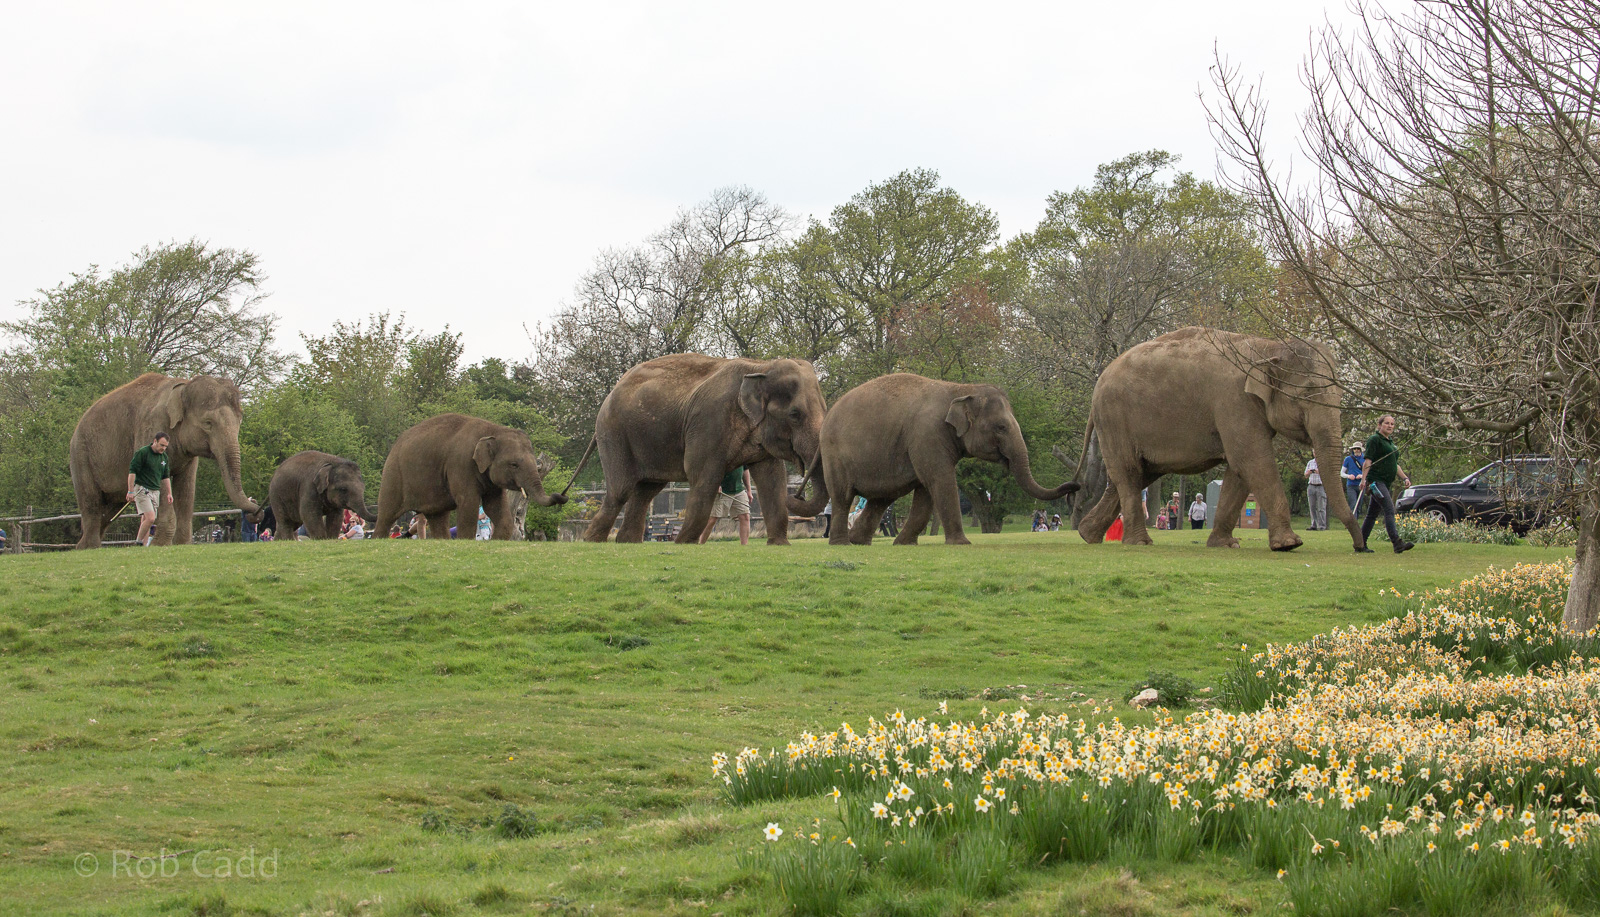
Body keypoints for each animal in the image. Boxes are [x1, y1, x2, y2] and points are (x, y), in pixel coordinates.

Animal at [70, 373, 259, 548]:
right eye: (208, 422)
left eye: (240, 420)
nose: (257, 512)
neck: (182, 386)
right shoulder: (150, 427)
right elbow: (161, 480)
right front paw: (159, 545)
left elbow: (186, 487)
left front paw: (182, 544)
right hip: (81, 455)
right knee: (91, 502)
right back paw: (89, 547)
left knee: (110, 508)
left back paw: (83, 546)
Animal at [375, 414, 565, 541]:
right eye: (514, 465)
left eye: (536, 462)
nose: (561, 496)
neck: (493, 430)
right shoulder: (460, 464)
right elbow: (469, 501)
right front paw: (466, 541)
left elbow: (495, 506)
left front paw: (496, 541)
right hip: (393, 474)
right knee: (387, 513)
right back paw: (379, 538)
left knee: (437, 516)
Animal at [580, 354, 827, 545]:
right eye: (795, 415)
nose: (796, 495)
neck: (761, 366)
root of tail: (611, 393)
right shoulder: (708, 423)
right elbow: (703, 478)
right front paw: (682, 544)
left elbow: (773, 479)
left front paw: (779, 544)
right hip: (614, 434)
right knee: (620, 491)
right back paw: (592, 541)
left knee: (646, 491)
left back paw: (627, 542)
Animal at [818, 374, 1078, 546]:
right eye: (1001, 427)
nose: (1074, 487)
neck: (960, 389)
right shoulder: (927, 435)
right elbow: (940, 480)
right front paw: (962, 543)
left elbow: (925, 490)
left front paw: (904, 544)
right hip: (833, 455)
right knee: (843, 497)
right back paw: (841, 543)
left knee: (882, 498)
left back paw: (859, 541)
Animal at [1076, 327, 1366, 551]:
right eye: (1306, 394)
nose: (1359, 547)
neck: (1269, 346)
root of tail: (1099, 383)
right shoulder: (1234, 401)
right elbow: (1252, 460)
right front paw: (1289, 544)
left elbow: (1239, 470)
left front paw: (1226, 545)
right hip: (1114, 419)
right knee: (1130, 472)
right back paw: (1138, 543)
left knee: (1137, 475)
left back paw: (1087, 534)